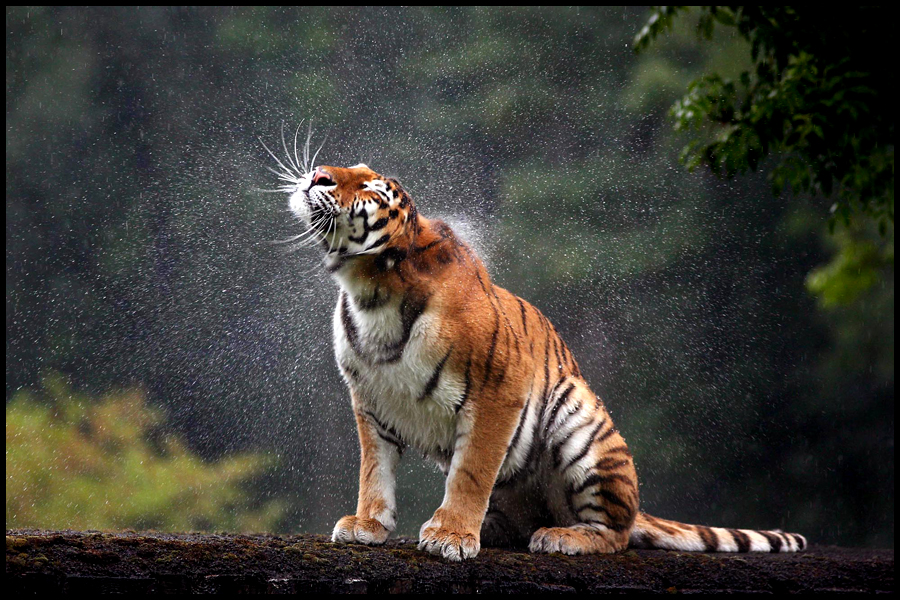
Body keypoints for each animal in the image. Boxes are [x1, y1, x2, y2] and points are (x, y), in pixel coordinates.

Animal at [278, 161, 804, 564]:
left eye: (369, 187)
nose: (318, 174)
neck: (371, 290)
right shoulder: (370, 398)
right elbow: (375, 470)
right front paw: (368, 523)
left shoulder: (499, 391)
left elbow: (471, 472)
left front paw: (451, 537)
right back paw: (495, 528)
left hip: (579, 419)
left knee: (614, 533)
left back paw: (558, 536)